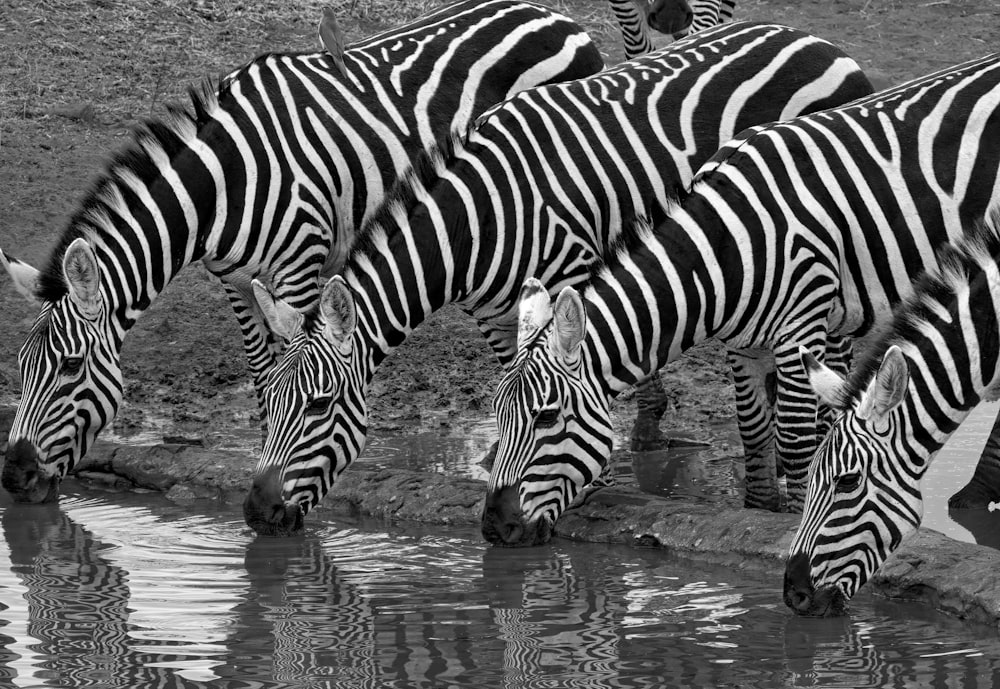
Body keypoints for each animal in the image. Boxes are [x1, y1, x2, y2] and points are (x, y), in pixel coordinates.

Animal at [0, 1, 600, 506]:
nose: (15, 476)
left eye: (69, 367)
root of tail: (557, 16)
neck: (226, 181)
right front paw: (269, 451)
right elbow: (263, 371)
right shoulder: (235, 278)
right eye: (22, 368)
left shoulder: (299, 265)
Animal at [244, 20, 876, 536]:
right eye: (267, 403)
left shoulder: (569, 276)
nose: (256, 513)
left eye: (318, 406)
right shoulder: (495, 313)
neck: (481, 217)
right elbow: (521, 380)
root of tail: (819, 42)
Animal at [488, 48, 1000, 544]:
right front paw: (758, 511)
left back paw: (975, 494)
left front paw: (793, 517)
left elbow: (793, 438)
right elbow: (753, 429)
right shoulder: (743, 340)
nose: (496, 526)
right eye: (496, 415)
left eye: (546, 417)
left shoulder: (801, 325)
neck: (725, 248)